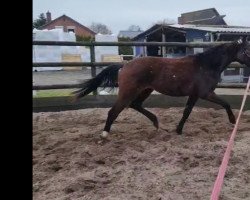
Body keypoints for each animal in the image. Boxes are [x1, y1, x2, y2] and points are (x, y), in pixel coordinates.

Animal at [72, 37, 248, 138]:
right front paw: (233, 121)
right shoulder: (205, 93)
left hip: (145, 90)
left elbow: (187, 112)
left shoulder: (195, 94)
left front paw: (178, 130)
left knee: (136, 105)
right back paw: (104, 134)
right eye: (247, 51)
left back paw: (156, 123)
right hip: (129, 92)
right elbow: (225, 103)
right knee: (114, 111)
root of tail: (125, 65)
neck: (206, 65)